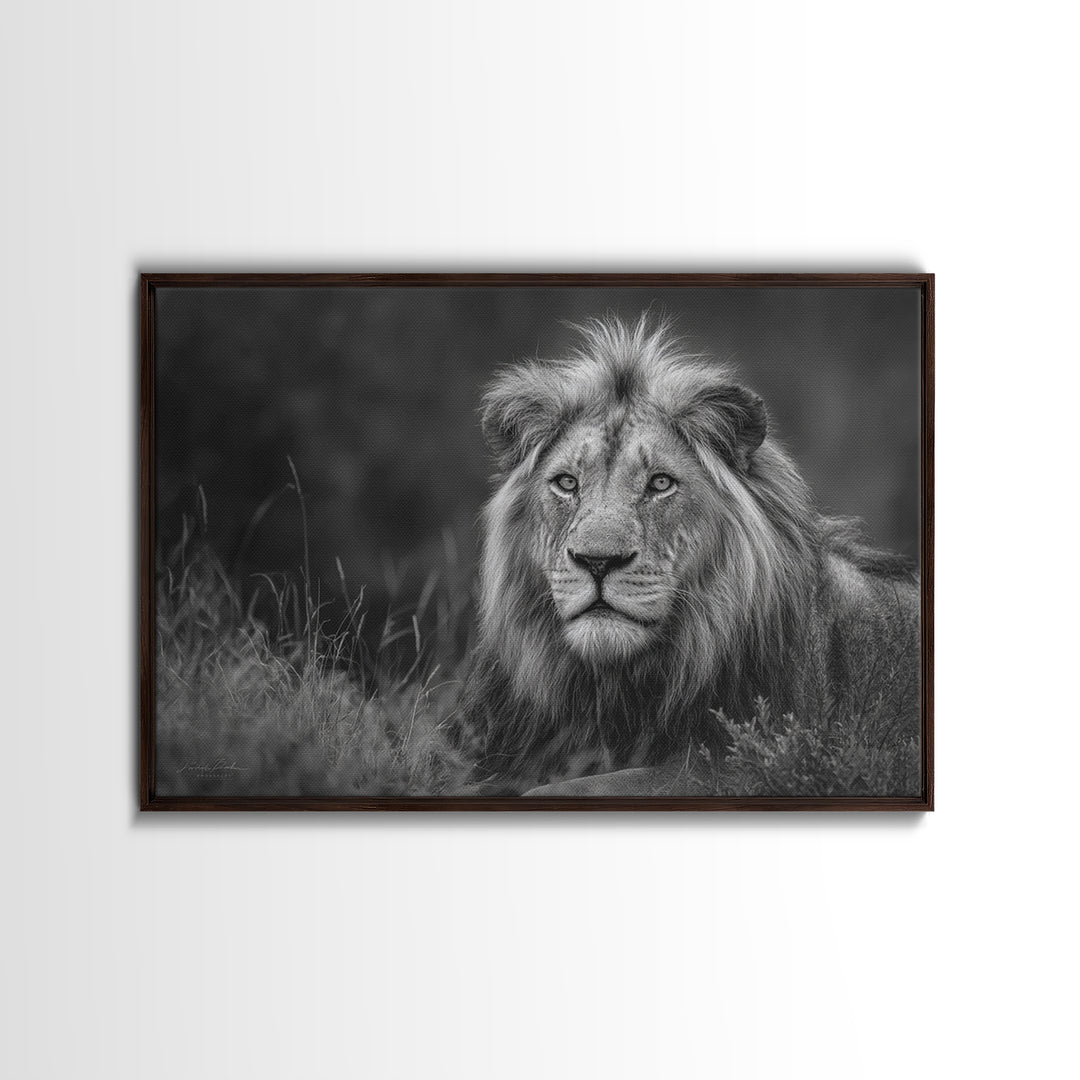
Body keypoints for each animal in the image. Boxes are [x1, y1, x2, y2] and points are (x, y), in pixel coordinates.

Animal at [459, 315, 920, 796]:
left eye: (661, 483)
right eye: (567, 483)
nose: (597, 561)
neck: (612, 689)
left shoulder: (738, 766)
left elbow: (569, 788)